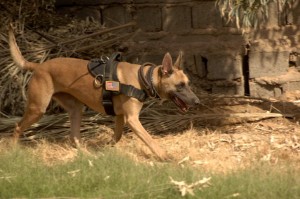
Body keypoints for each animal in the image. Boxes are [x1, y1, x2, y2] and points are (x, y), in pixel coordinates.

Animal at [8, 26, 199, 160]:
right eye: (180, 85)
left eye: (188, 84)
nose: (197, 102)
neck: (142, 78)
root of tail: (39, 66)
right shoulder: (132, 119)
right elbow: (150, 139)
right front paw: (165, 156)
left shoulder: (121, 117)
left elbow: (117, 136)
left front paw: (106, 149)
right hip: (37, 108)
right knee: (17, 127)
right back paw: (12, 150)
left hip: (76, 110)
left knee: (73, 137)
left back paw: (86, 154)